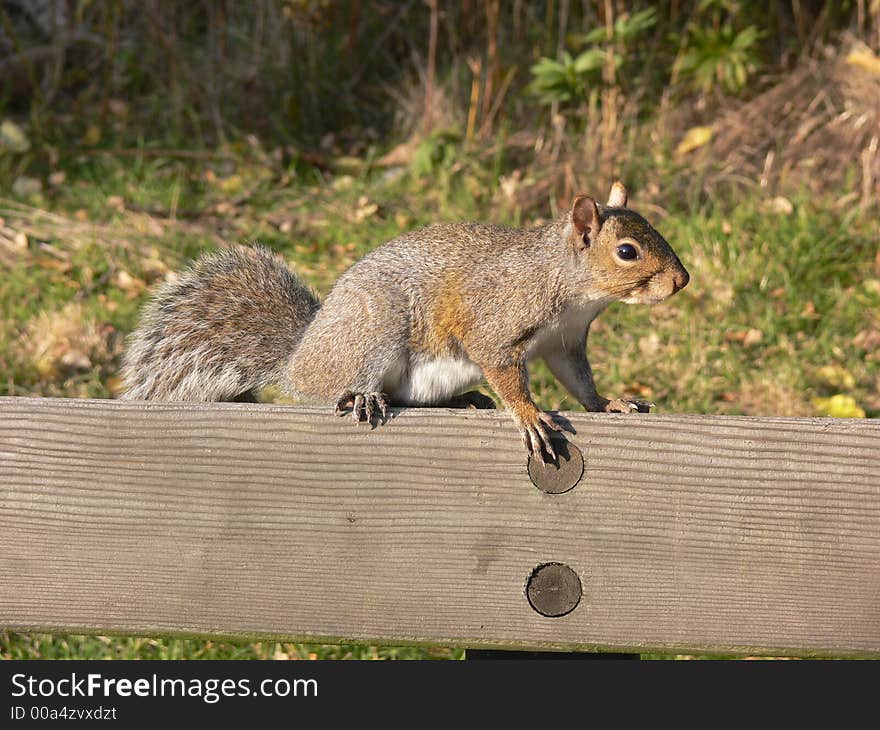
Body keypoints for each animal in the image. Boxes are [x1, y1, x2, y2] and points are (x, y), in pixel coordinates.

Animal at [122, 183, 688, 460]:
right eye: (627, 251)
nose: (681, 280)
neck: (569, 286)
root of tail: (300, 359)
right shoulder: (496, 324)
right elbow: (505, 371)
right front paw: (528, 415)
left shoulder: (564, 342)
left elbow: (579, 383)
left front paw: (609, 402)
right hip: (375, 332)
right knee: (338, 390)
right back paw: (363, 397)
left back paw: (464, 400)